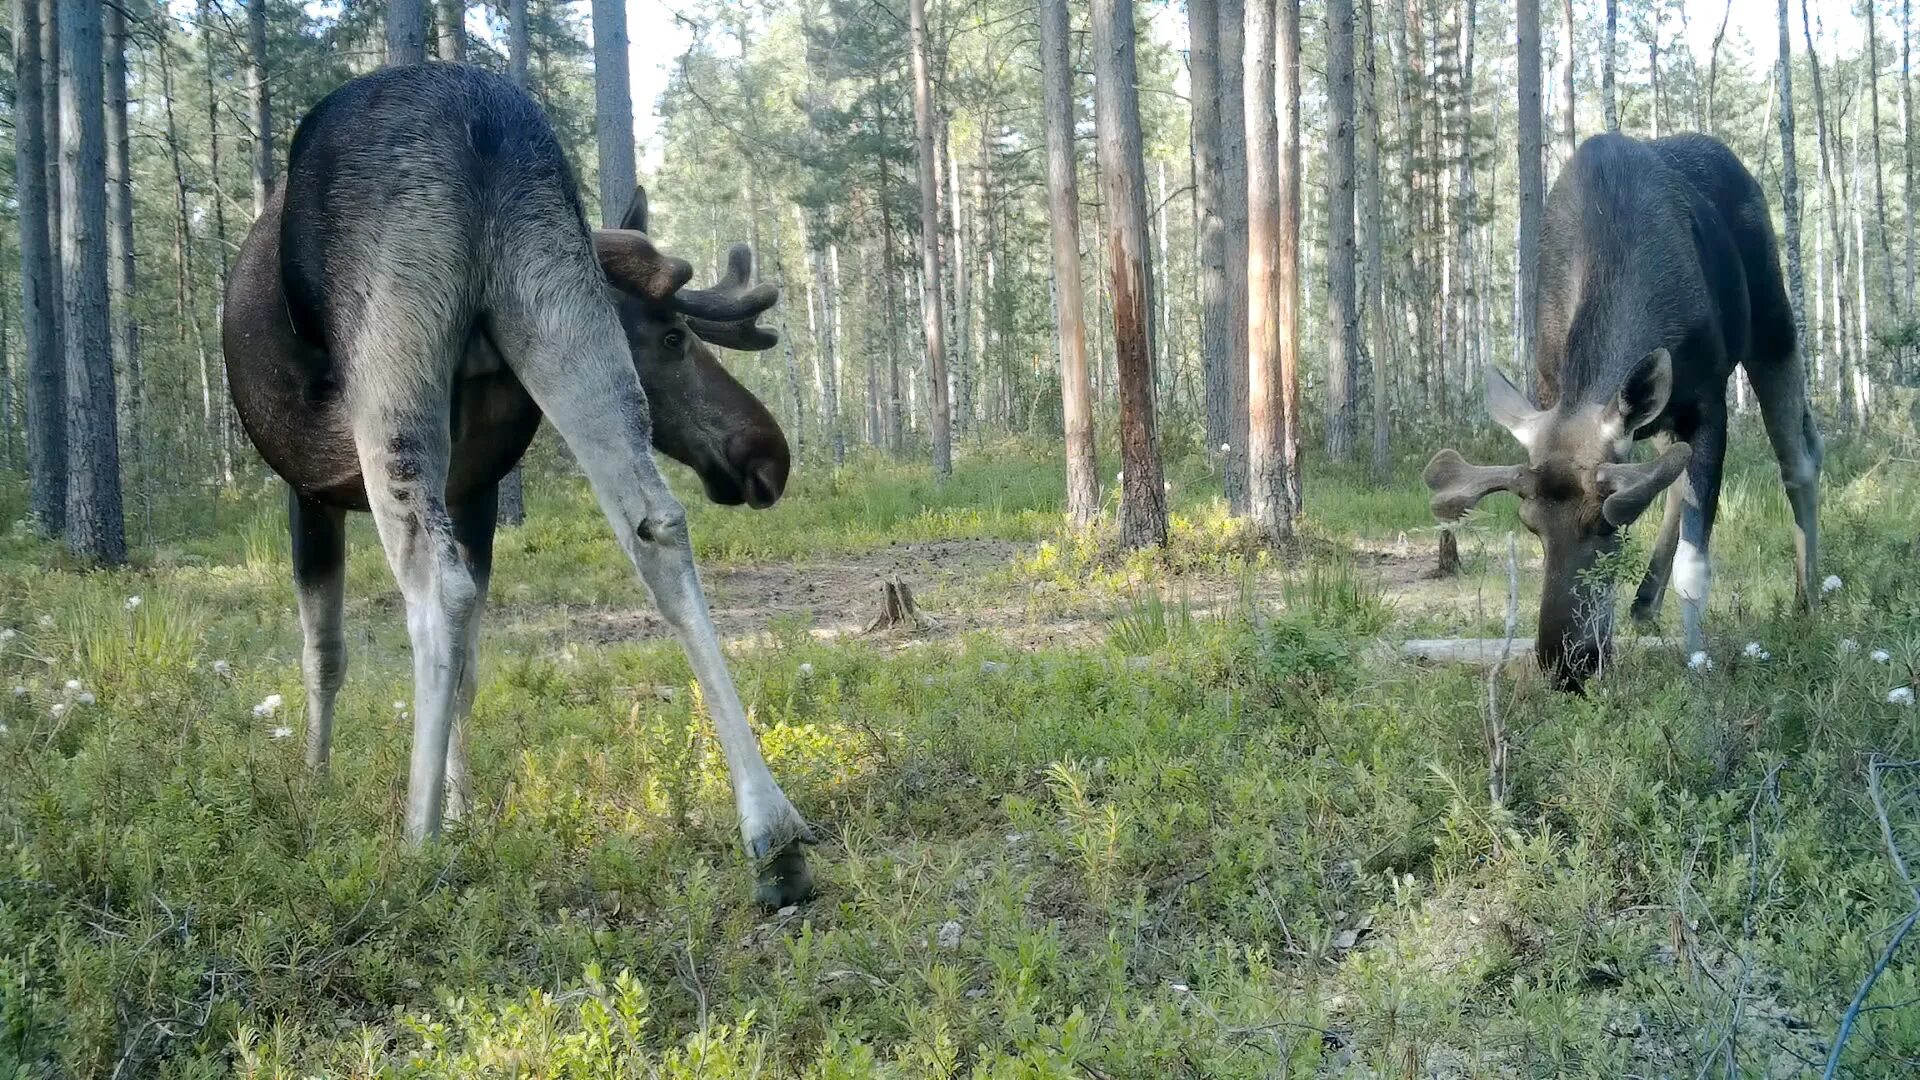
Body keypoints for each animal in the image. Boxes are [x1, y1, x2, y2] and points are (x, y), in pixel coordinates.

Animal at [220, 62, 814, 903]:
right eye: (671, 337)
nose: (769, 453)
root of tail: (482, 121)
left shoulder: (305, 491)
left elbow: (325, 653)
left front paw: (321, 784)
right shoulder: (476, 489)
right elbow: (469, 668)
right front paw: (465, 807)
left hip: (393, 350)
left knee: (435, 587)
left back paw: (416, 841)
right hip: (557, 296)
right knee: (657, 526)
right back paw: (774, 832)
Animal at [1428, 132, 1812, 687]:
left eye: (1608, 523)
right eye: (1531, 526)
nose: (1567, 663)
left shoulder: (1708, 400)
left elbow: (1697, 563)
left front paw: (1699, 668)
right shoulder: (1557, 392)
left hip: (1773, 325)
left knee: (1799, 460)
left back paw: (1809, 600)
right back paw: (1645, 601)